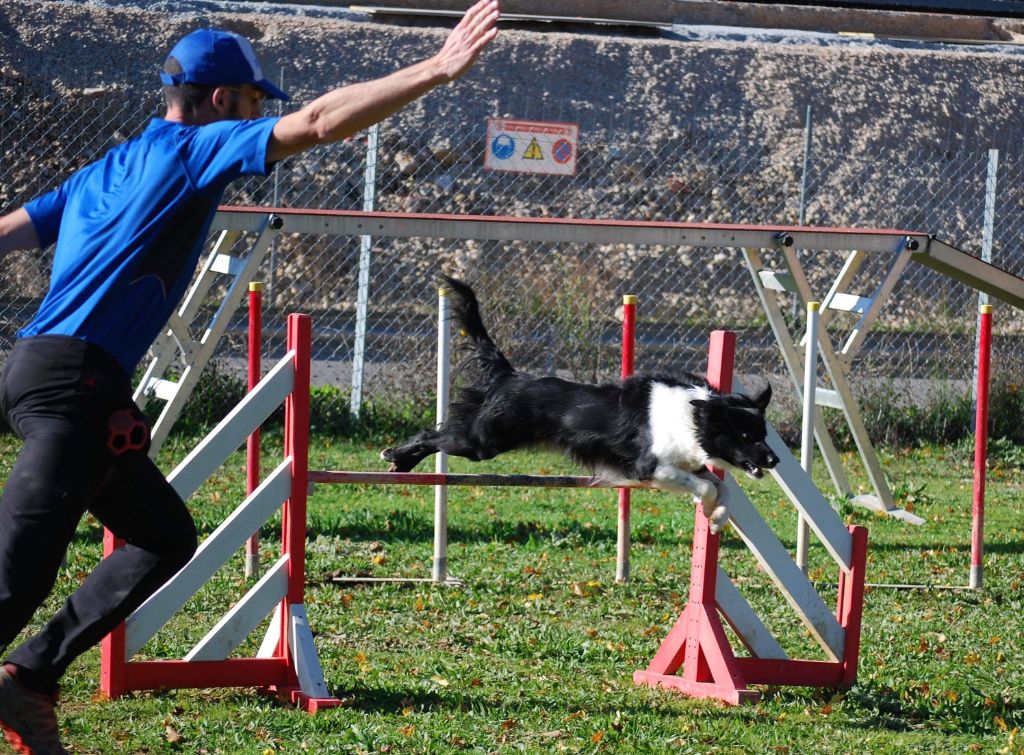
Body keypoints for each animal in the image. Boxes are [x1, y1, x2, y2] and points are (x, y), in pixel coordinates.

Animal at [380, 274, 778, 528]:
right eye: (746, 436)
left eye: (764, 434)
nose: (774, 460)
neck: (693, 415)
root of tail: (509, 375)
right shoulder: (649, 467)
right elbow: (707, 485)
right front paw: (710, 510)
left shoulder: (686, 462)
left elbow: (720, 485)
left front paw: (716, 518)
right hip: (482, 442)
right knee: (432, 436)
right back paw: (396, 457)